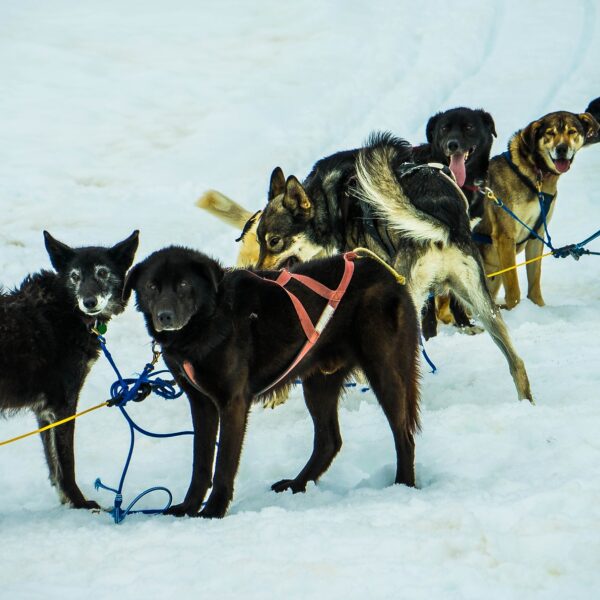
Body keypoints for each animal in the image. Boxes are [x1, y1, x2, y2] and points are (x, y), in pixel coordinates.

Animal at [0, 230, 138, 506]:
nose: (89, 301)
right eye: (75, 276)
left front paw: (67, 503)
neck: (64, 309)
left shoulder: (43, 411)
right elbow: (66, 464)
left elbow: (53, 464)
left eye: (102, 273)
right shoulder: (63, 404)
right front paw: (80, 504)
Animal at [124, 246, 420, 516]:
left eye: (184, 284)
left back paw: (403, 485)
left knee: (403, 434)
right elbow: (201, 463)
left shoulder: (233, 403)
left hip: (384, 372)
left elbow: (223, 464)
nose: (164, 316)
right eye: (151, 286)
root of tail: (386, 272)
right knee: (329, 441)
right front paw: (188, 508)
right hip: (318, 384)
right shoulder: (201, 403)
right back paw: (298, 484)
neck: (210, 319)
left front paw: (213, 511)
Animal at [474, 110, 600, 310]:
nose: (562, 149)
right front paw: (516, 310)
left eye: (572, 131)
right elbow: (514, 289)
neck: (536, 177)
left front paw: (539, 308)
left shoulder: (537, 233)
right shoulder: (505, 236)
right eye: (550, 133)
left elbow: (534, 283)